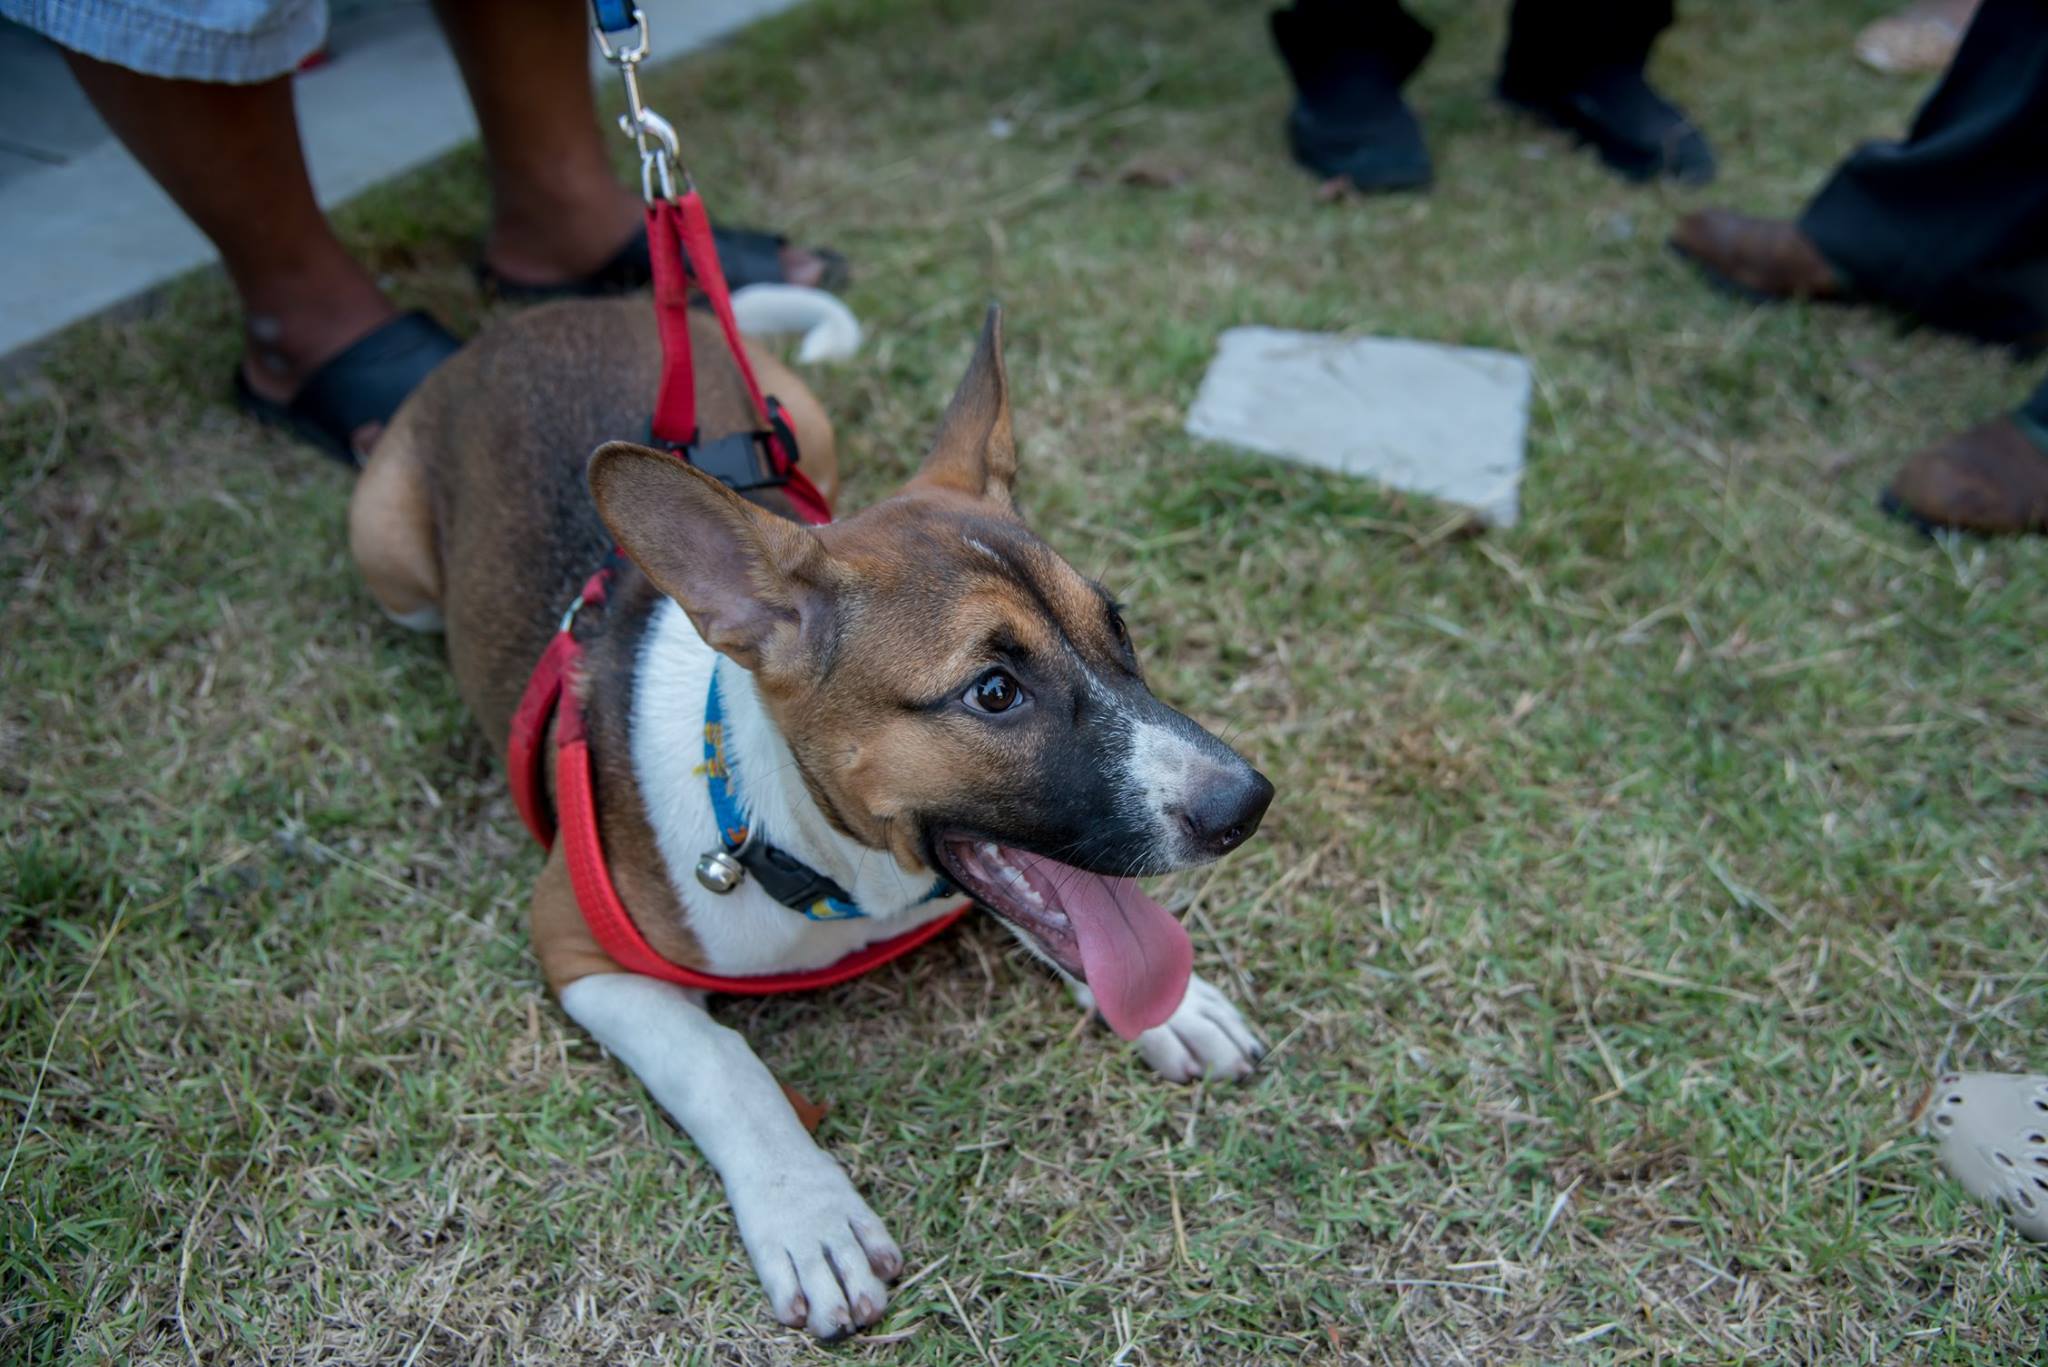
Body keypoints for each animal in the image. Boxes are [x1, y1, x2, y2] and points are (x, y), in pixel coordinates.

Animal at [354, 297, 1277, 1336]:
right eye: (995, 692)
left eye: (1115, 625)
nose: (1246, 804)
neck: (811, 852)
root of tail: (536, 315)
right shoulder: (573, 939)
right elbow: (720, 1061)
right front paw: (809, 1214)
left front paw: (1181, 1007)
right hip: (386, 553)